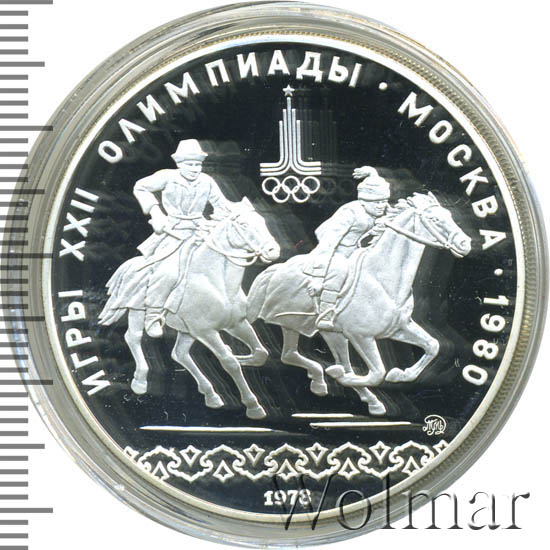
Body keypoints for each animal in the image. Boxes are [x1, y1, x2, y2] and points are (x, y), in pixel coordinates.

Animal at [98, 199, 280, 419]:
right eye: (244, 225)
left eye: (263, 220)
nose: (273, 251)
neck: (217, 282)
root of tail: (130, 264)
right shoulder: (206, 331)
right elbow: (229, 362)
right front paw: (253, 405)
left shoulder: (235, 324)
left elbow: (261, 353)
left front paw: (244, 358)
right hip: (137, 312)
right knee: (133, 337)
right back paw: (140, 381)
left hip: (187, 331)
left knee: (180, 354)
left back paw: (210, 394)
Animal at [247, 192, 472, 415]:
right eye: (435, 219)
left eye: (450, 215)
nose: (465, 243)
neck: (381, 278)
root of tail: (272, 272)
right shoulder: (361, 336)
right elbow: (377, 373)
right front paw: (342, 376)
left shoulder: (399, 327)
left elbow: (433, 345)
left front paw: (400, 375)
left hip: (320, 331)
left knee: (290, 355)